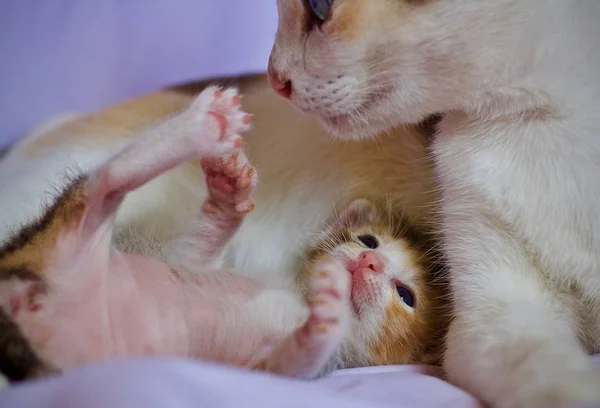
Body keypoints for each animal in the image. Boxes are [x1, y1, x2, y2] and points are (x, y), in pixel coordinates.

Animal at [0, 86, 446, 382]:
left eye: (405, 295)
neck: (294, 291)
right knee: (104, 180)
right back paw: (203, 125)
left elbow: (290, 362)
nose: (370, 261)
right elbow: (191, 254)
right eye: (368, 241)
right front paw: (226, 199)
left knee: (102, 187)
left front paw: (327, 314)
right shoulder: (185, 260)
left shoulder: (273, 367)